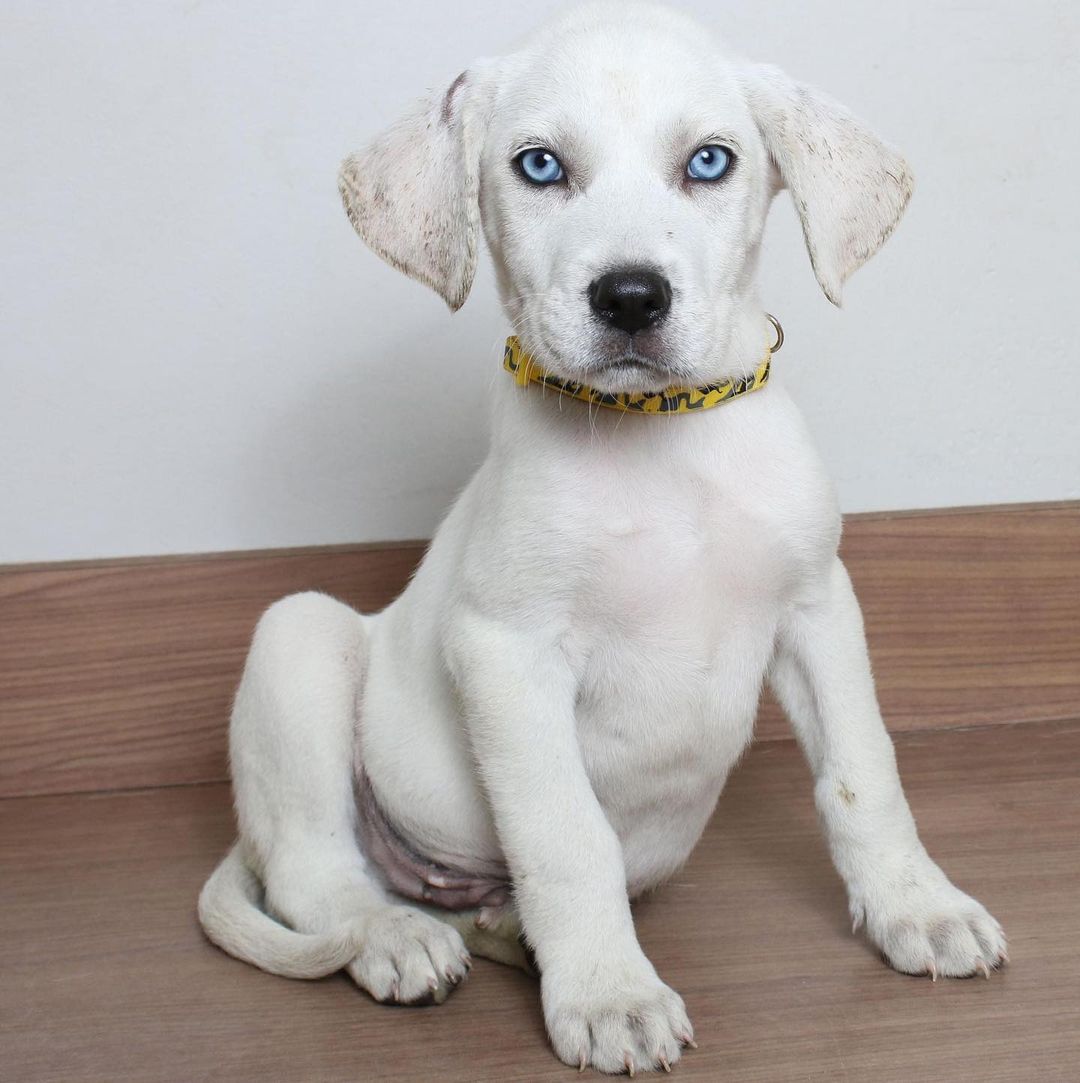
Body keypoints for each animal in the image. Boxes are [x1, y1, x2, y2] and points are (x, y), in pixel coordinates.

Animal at [198, 2, 1005, 1074]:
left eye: (710, 161)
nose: (630, 297)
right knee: (312, 871)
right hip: (298, 635)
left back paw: (500, 931)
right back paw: (395, 938)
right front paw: (611, 996)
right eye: (540, 167)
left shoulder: (819, 608)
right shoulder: (507, 650)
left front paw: (918, 907)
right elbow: (566, 834)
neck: (662, 441)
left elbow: (862, 772)